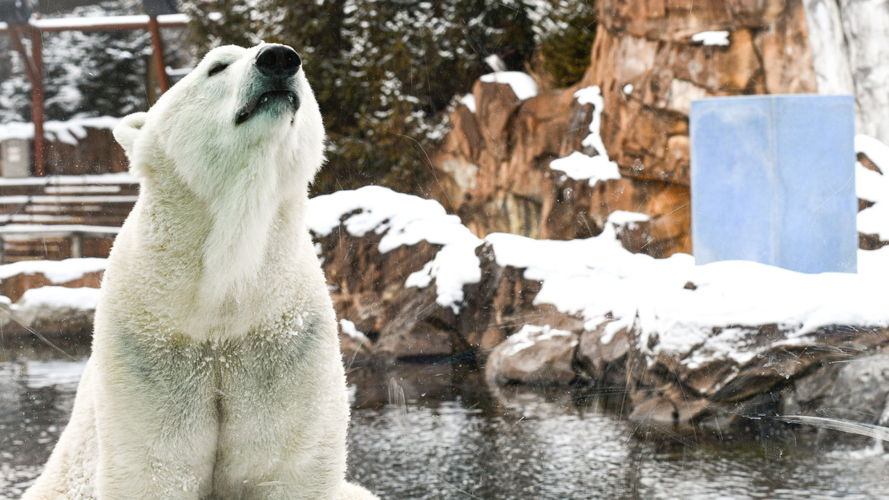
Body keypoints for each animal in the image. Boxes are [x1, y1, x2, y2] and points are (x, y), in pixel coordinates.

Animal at [22, 43, 378, 500]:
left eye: (296, 62)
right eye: (217, 66)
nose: (279, 59)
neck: (220, 303)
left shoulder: (284, 344)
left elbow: (283, 464)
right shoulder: (151, 351)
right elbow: (156, 468)